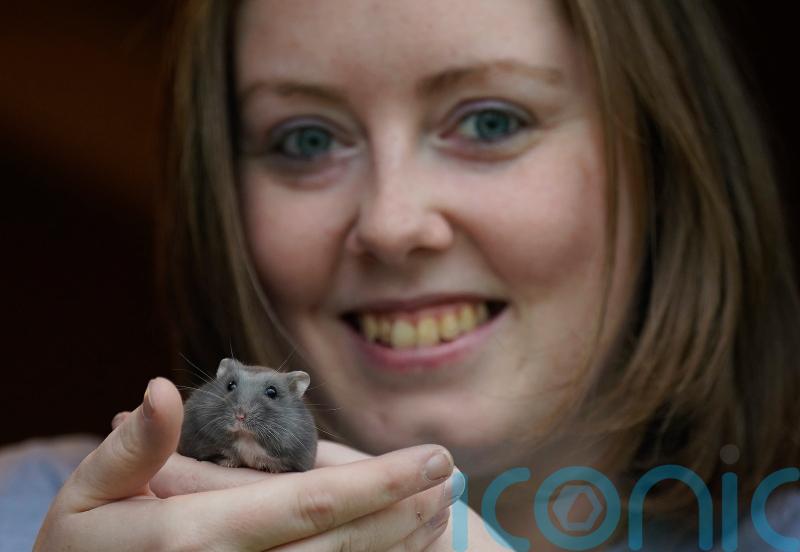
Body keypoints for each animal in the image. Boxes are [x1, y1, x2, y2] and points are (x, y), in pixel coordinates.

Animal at [178, 358, 318, 472]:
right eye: (230, 385)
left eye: (272, 392)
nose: (240, 416)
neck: (246, 437)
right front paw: (228, 463)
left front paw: (270, 469)